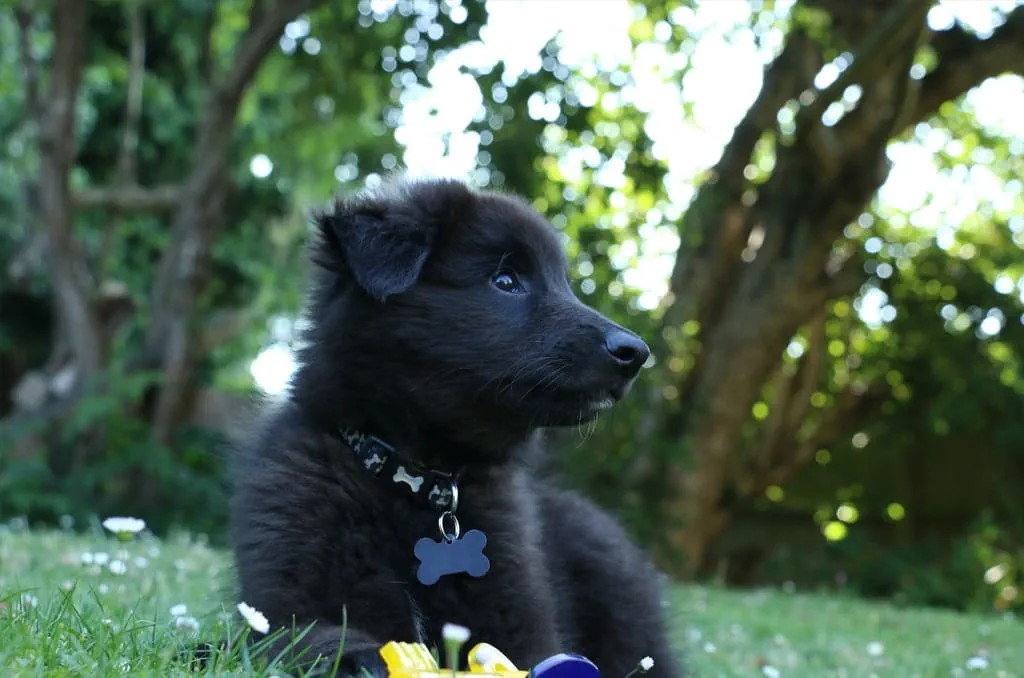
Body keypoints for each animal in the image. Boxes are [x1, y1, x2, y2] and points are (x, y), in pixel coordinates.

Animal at [229, 178, 684, 675]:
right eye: (505, 281)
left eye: (564, 283)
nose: (636, 353)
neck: (421, 484)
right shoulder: (286, 602)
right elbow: (312, 639)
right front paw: (362, 656)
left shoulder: (526, 628)